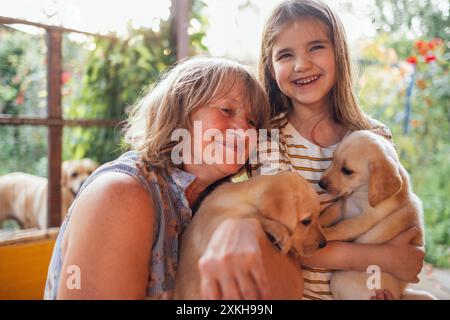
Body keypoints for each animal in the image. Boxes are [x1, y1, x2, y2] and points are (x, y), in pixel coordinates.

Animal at [173, 171, 326, 298]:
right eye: (306, 221)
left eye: (319, 215)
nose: (324, 244)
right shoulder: (213, 222)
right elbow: (252, 215)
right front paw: (281, 234)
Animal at [318, 130, 434, 300]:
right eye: (332, 158)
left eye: (347, 171)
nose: (320, 183)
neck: (361, 193)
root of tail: (400, 295)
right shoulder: (342, 205)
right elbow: (328, 214)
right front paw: (315, 224)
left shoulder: (363, 220)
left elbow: (341, 227)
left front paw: (323, 233)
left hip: (339, 279)